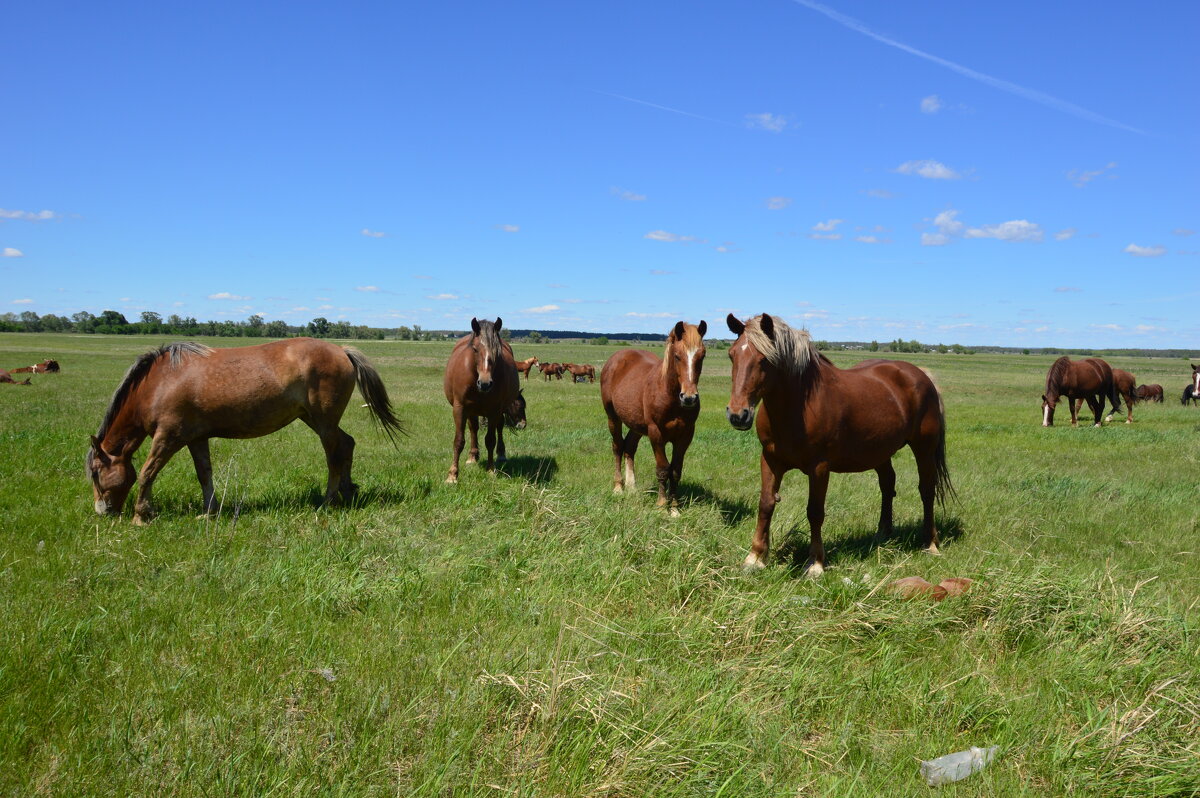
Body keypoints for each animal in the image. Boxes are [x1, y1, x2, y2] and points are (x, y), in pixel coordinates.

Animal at [87, 336, 403, 523]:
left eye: (95, 473)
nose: (102, 511)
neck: (159, 382)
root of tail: (341, 350)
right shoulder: (196, 438)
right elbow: (204, 474)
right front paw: (209, 512)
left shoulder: (169, 437)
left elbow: (147, 473)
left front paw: (141, 516)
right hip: (313, 419)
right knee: (347, 444)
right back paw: (348, 493)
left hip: (323, 422)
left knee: (334, 457)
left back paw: (328, 502)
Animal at [720, 314, 955, 576]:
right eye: (732, 355)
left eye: (764, 359)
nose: (738, 414)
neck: (798, 407)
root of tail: (921, 375)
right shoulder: (770, 460)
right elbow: (766, 504)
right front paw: (755, 557)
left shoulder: (819, 468)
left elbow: (815, 511)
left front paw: (815, 563)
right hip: (880, 451)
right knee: (887, 484)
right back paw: (882, 534)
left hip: (924, 448)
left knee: (926, 490)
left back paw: (930, 543)